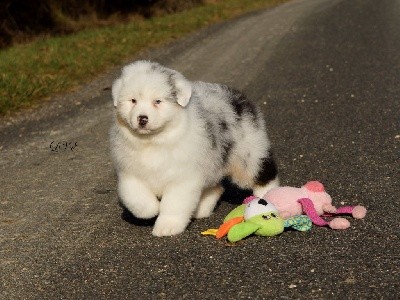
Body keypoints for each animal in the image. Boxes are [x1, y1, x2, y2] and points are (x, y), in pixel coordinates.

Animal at [109, 61, 278, 237]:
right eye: (133, 101)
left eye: (158, 101)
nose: (142, 119)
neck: (153, 141)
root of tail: (239, 97)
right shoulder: (130, 173)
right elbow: (135, 197)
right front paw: (152, 209)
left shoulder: (181, 178)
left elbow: (173, 204)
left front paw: (167, 226)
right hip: (212, 161)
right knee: (215, 187)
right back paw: (201, 209)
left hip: (248, 154)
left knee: (264, 174)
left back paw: (268, 198)